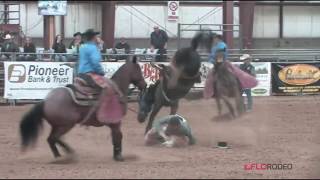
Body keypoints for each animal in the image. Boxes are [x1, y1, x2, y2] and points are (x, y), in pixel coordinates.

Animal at [18, 57, 146, 162]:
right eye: (139, 70)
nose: (144, 85)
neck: (116, 90)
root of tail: (45, 101)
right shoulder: (116, 122)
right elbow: (118, 136)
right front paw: (119, 156)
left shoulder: (113, 123)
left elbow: (115, 137)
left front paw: (116, 155)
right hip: (66, 125)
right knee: (55, 138)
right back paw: (70, 154)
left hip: (57, 125)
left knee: (51, 140)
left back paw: (59, 157)